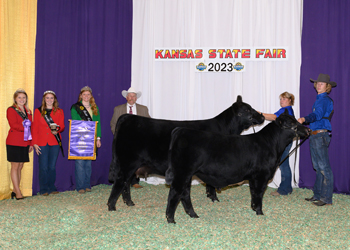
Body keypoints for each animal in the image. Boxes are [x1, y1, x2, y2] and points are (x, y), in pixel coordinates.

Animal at [108, 95, 264, 211]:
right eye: (248, 110)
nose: (262, 117)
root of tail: (127, 117)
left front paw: (210, 197)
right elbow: (212, 183)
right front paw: (214, 198)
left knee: (126, 184)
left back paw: (129, 203)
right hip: (128, 162)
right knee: (120, 182)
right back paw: (112, 206)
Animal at [165, 110, 308, 224]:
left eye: (296, 120)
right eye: (291, 124)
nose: (307, 130)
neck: (271, 144)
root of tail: (181, 130)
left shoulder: (253, 177)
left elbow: (253, 193)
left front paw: (254, 208)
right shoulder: (261, 176)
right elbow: (259, 194)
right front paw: (260, 213)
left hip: (187, 174)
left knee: (185, 193)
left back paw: (193, 215)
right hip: (182, 173)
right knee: (175, 192)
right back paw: (171, 219)